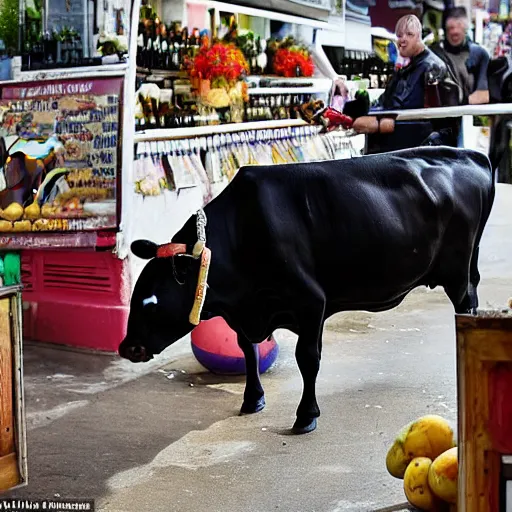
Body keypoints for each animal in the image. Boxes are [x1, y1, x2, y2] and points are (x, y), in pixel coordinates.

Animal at [119, 146, 496, 434]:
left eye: (152, 302)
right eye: (135, 296)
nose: (128, 347)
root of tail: (468, 154)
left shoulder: (311, 301)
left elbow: (307, 358)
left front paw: (305, 416)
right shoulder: (248, 311)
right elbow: (248, 350)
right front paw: (252, 399)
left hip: (457, 272)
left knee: (465, 306)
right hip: (470, 264)